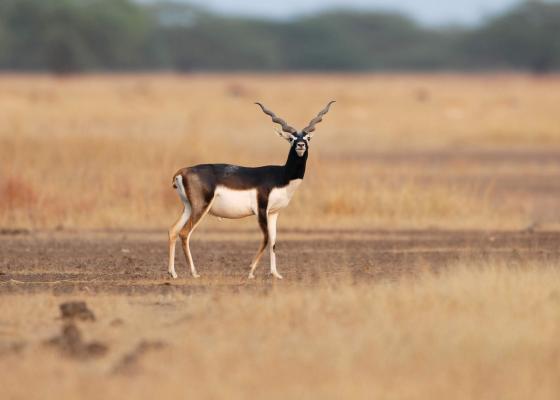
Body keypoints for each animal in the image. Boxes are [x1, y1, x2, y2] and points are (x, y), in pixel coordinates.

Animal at [166, 101, 332, 280]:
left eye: (307, 138)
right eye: (291, 138)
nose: (300, 145)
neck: (281, 176)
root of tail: (183, 171)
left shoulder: (273, 213)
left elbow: (273, 241)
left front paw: (275, 274)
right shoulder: (261, 210)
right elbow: (266, 238)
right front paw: (251, 271)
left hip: (189, 207)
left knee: (173, 231)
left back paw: (172, 272)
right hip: (200, 207)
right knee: (184, 233)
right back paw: (194, 273)